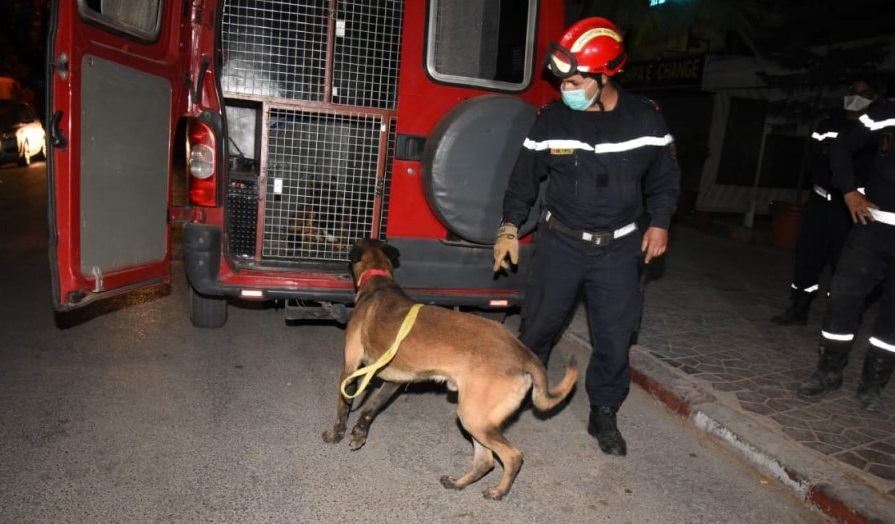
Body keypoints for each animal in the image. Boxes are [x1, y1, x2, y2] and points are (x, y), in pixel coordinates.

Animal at [322, 238, 578, 500]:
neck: (379, 282)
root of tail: (523, 353)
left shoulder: (350, 368)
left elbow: (344, 406)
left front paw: (336, 434)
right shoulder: (394, 381)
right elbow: (369, 410)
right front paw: (358, 433)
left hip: (473, 417)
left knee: (513, 456)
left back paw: (498, 491)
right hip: (476, 419)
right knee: (486, 461)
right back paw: (458, 483)